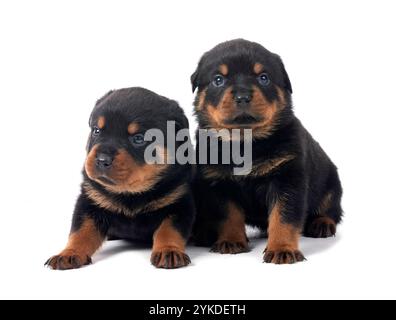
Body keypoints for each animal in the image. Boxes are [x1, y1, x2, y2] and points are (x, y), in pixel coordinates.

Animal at [45, 87, 194, 270]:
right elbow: (80, 231)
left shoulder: (178, 203)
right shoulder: (90, 201)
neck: (130, 193)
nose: (102, 160)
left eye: (138, 138)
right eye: (97, 130)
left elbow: (169, 230)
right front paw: (69, 253)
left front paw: (169, 251)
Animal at [190, 38, 342, 264]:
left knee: (330, 208)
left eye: (264, 78)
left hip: (330, 183)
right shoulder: (220, 183)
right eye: (218, 80)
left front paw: (282, 249)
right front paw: (231, 241)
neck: (244, 143)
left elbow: (283, 217)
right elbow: (229, 215)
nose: (243, 96)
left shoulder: (287, 179)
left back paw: (322, 224)